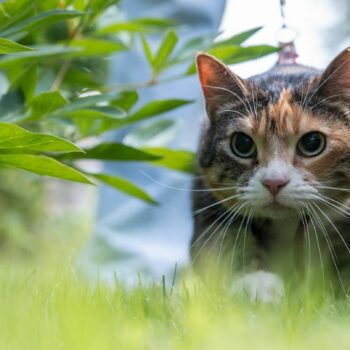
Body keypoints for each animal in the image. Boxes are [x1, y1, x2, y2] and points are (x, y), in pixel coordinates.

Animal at [190, 47, 350, 302]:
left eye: (312, 142)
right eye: (242, 144)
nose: (274, 182)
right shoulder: (209, 205)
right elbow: (227, 245)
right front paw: (258, 285)